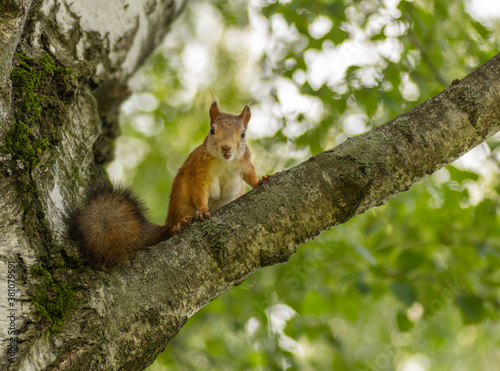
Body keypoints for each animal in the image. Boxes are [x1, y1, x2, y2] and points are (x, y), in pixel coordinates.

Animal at [69, 100, 274, 266]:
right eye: (212, 130)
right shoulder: (199, 171)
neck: (225, 162)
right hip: (181, 197)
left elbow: (250, 176)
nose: (226, 148)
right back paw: (180, 225)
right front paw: (203, 210)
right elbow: (200, 192)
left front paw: (262, 180)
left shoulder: (244, 164)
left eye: (243, 134)